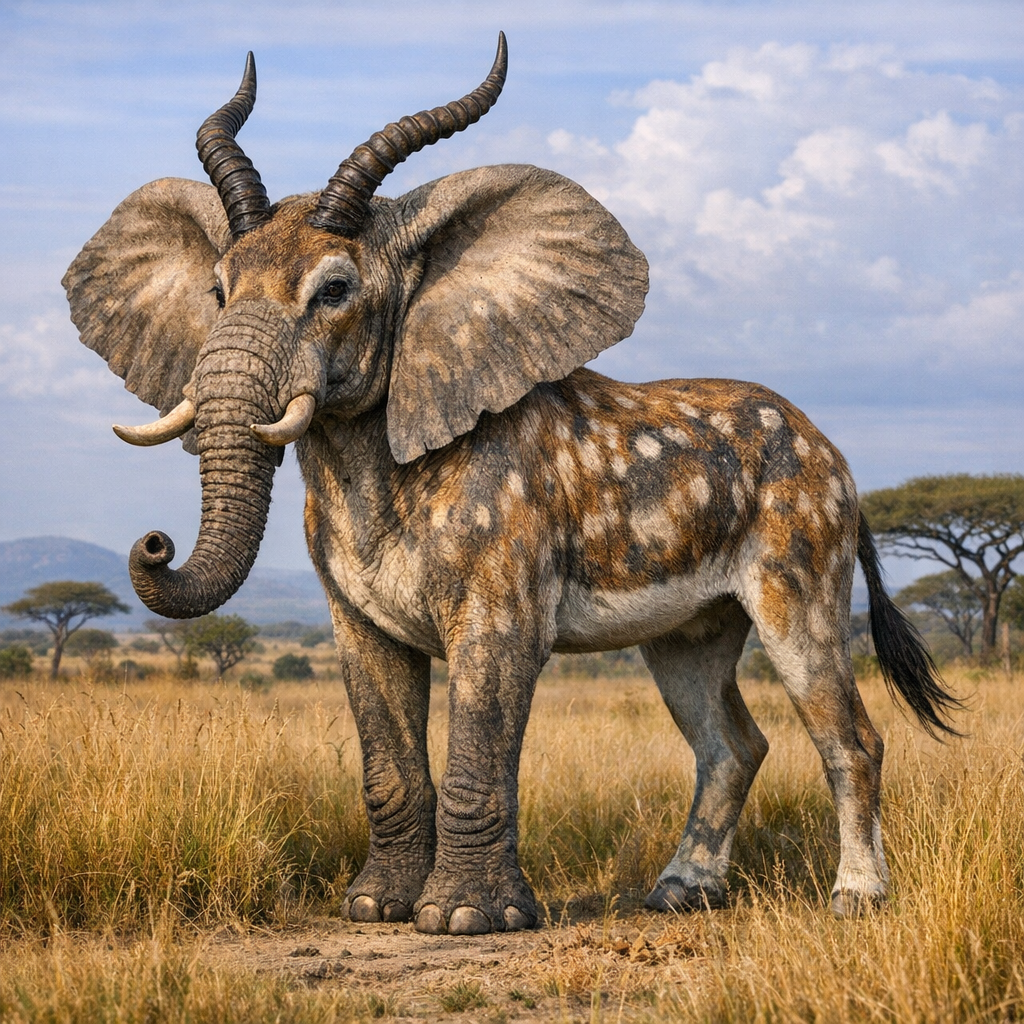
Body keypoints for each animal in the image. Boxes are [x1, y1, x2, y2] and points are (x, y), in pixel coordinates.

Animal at [64, 36, 959, 935]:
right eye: (217, 291)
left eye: (335, 290)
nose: (153, 543)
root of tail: (836, 455)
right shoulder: (348, 607)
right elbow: (381, 727)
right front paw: (374, 907)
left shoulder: (506, 546)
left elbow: (486, 704)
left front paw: (462, 918)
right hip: (693, 620)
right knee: (726, 734)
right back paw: (680, 892)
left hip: (801, 543)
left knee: (842, 725)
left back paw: (856, 898)